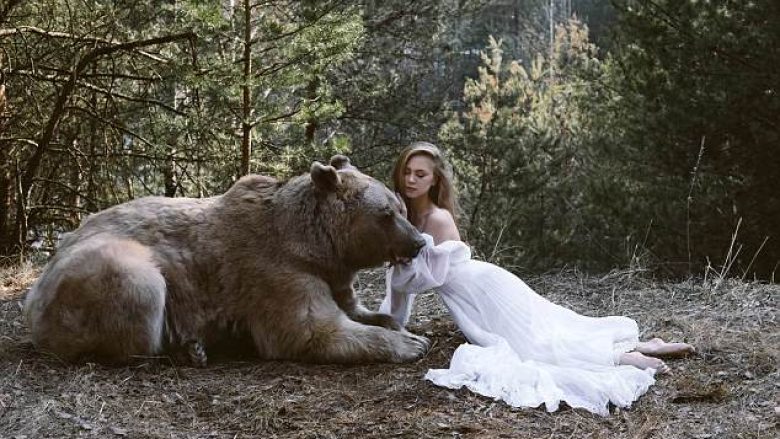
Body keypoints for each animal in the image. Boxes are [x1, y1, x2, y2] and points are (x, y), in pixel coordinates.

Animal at [24, 156, 430, 366]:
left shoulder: (333, 272)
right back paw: (183, 349)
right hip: (100, 274)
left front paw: (391, 321)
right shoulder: (277, 271)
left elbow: (353, 308)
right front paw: (411, 343)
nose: (417, 242)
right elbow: (309, 330)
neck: (314, 244)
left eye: (400, 206)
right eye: (386, 214)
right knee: (141, 294)